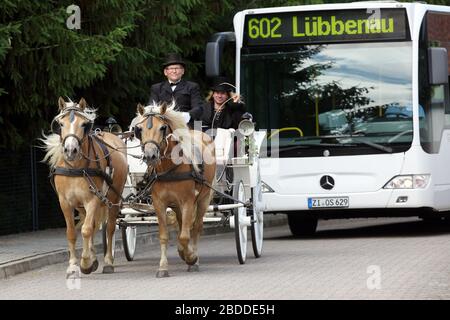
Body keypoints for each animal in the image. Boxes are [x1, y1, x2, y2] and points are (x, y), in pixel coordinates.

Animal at [41, 96, 127, 276]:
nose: (70, 150)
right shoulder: (65, 202)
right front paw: (74, 264)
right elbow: (72, 232)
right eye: (61, 124)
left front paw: (86, 262)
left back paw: (108, 262)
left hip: (114, 199)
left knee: (109, 228)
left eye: (83, 124)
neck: (76, 167)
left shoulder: (93, 199)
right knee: (93, 226)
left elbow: (86, 230)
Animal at [134, 102, 216, 278]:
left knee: (196, 227)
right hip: (178, 205)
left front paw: (191, 257)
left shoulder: (188, 202)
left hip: (203, 199)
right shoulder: (159, 204)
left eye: (163, 128)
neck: (169, 169)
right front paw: (163, 267)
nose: (150, 156)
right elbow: (165, 236)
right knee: (182, 226)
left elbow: (185, 236)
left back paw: (193, 259)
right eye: (139, 129)